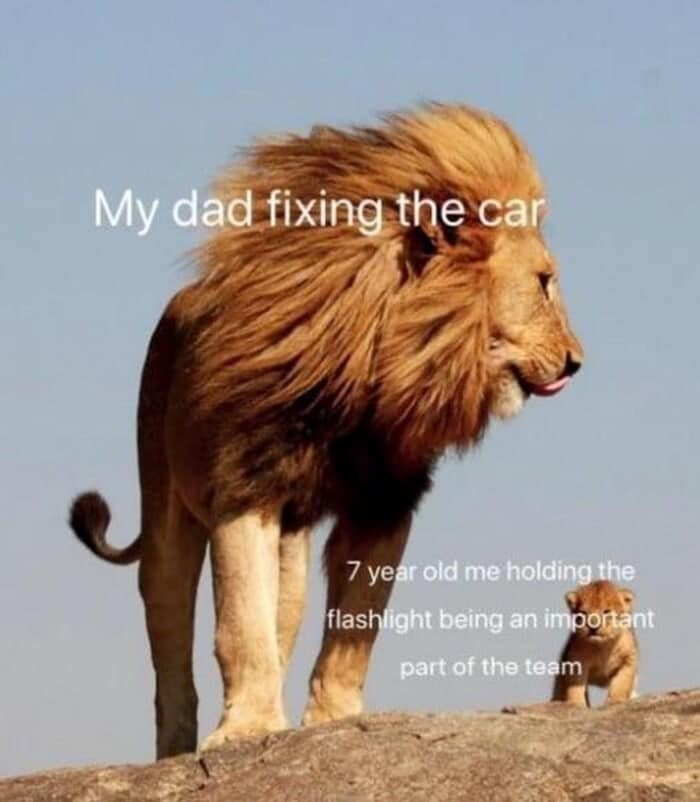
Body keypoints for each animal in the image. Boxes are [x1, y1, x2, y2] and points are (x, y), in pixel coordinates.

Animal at [69, 103, 583, 759]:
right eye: (544, 282)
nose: (576, 362)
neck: (375, 364)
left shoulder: (385, 500)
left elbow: (355, 626)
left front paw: (332, 722)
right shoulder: (245, 485)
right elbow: (240, 623)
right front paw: (248, 729)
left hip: (291, 549)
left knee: (282, 618)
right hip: (165, 512)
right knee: (171, 637)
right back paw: (177, 750)